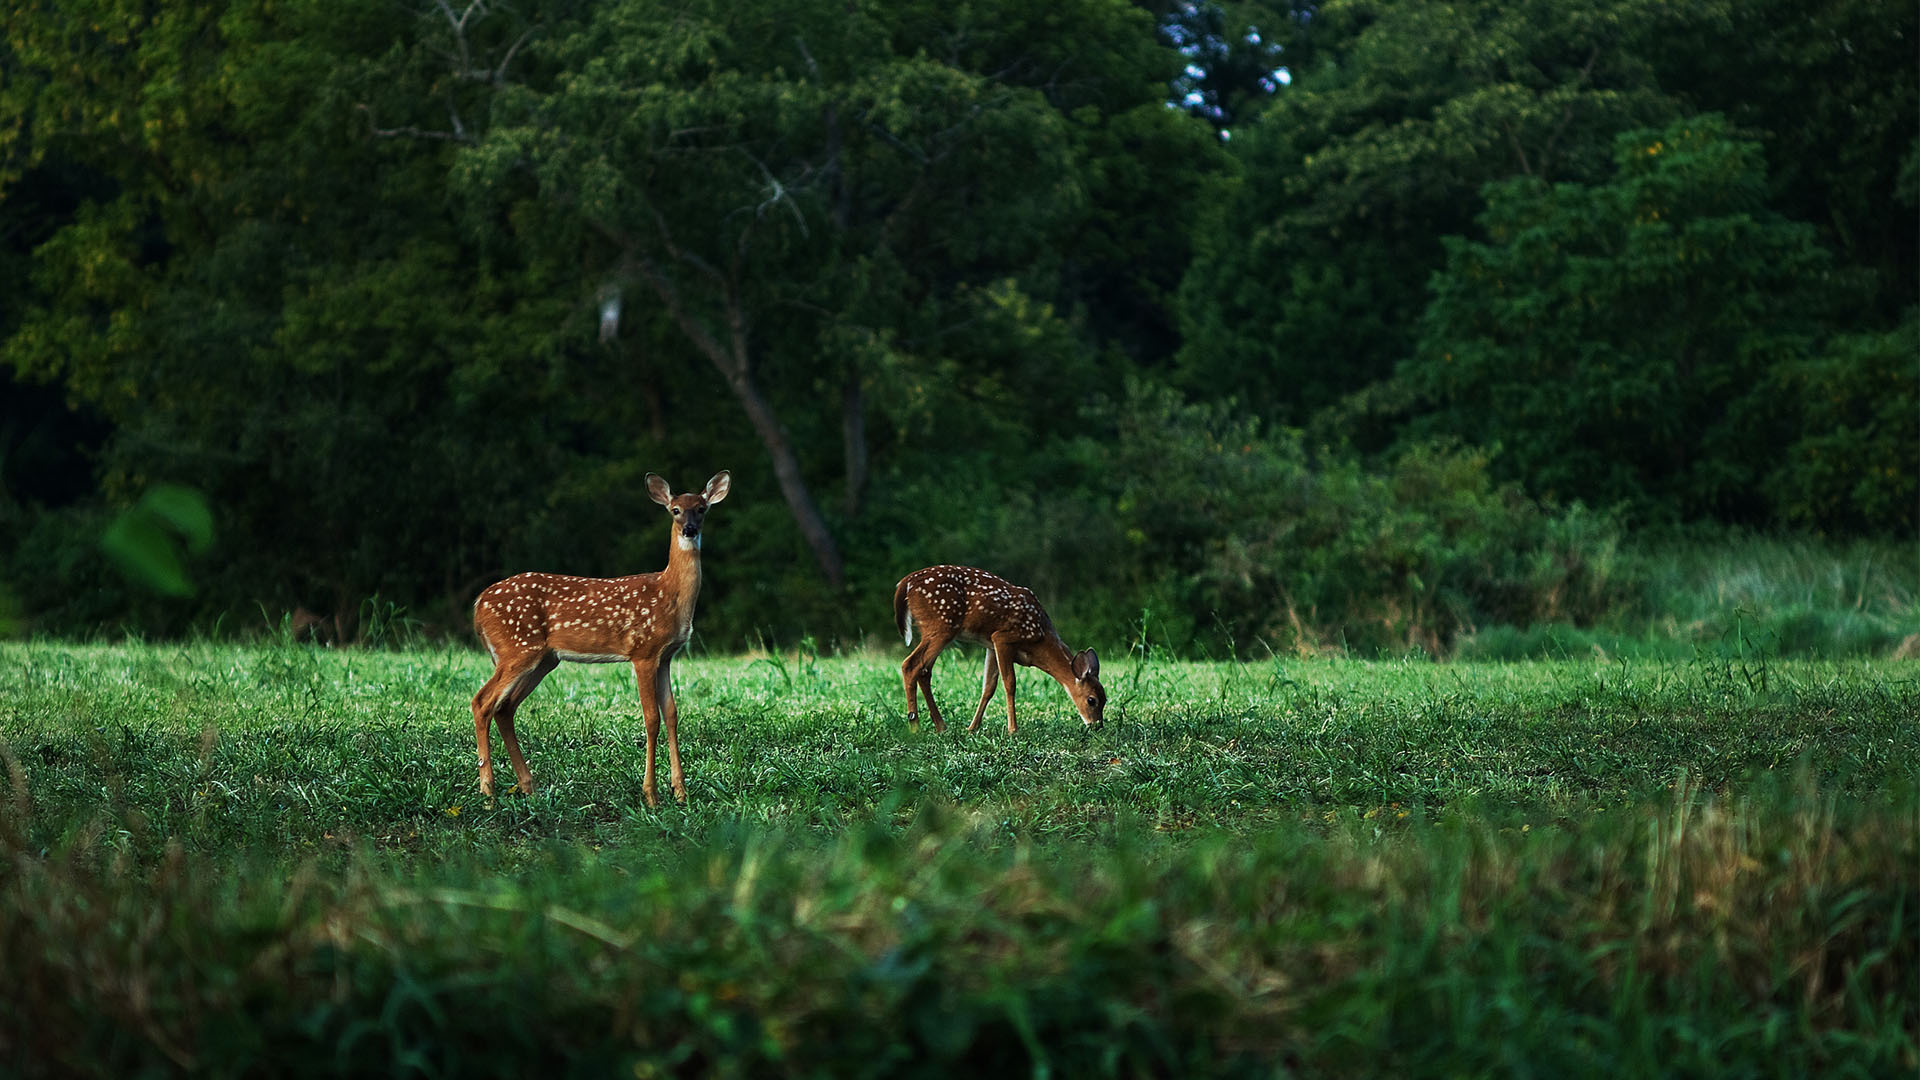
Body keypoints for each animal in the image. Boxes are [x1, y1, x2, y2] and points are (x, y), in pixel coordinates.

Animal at [470, 471, 730, 806]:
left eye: (701, 508)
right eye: (675, 510)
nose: (689, 529)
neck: (669, 593)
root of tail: (478, 605)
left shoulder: (666, 656)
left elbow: (672, 714)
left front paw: (680, 792)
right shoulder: (643, 651)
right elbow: (651, 718)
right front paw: (651, 795)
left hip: (542, 659)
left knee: (504, 708)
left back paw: (528, 787)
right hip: (518, 648)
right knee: (481, 702)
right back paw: (488, 791)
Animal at [892, 564, 1105, 734]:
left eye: (1105, 699)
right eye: (1091, 700)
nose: (1097, 726)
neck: (1040, 638)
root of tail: (905, 583)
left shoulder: (991, 646)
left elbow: (988, 687)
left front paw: (972, 728)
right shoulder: (1003, 638)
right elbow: (1010, 683)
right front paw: (1013, 730)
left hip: (936, 629)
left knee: (924, 671)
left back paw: (941, 726)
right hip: (941, 626)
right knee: (910, 665)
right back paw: (915, 727)